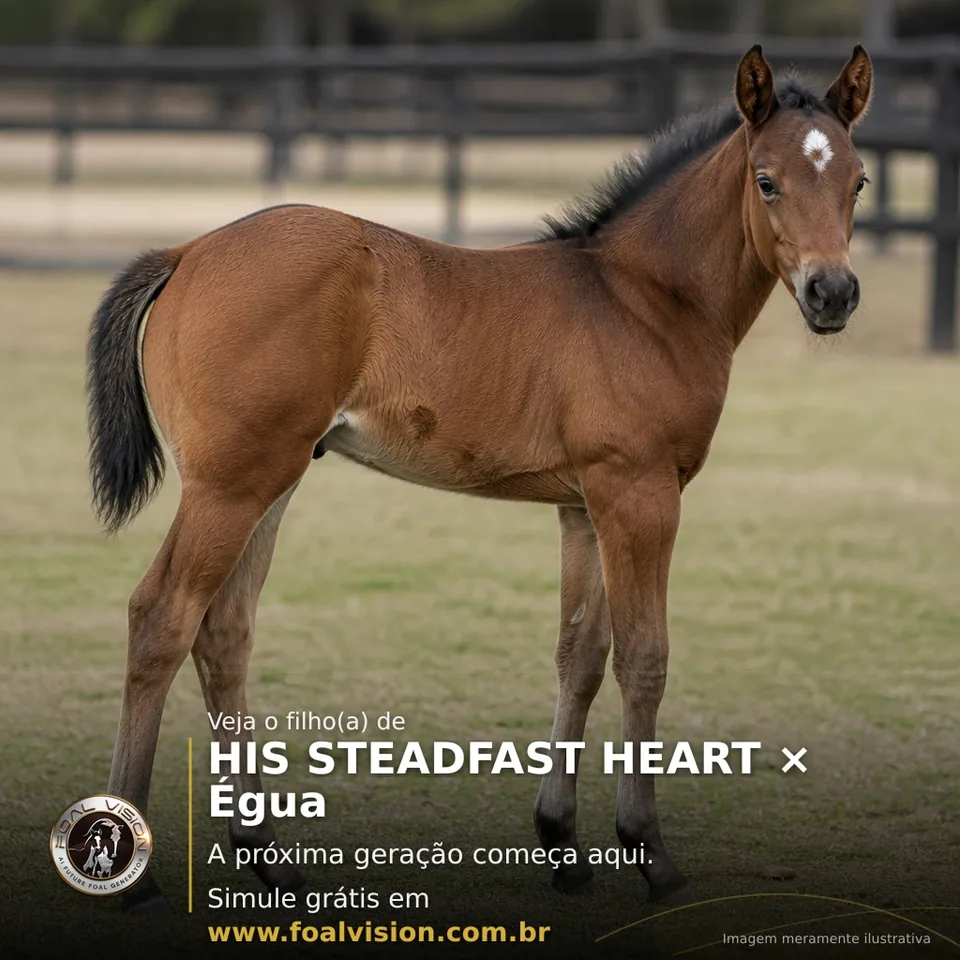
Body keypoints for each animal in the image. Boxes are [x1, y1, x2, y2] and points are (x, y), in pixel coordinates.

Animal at [86, 44, 872, 913]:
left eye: (859, 182)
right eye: (767, 181)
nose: (833, 293)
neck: (642, 300)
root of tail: (187, 253)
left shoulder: (583, 505)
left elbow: (580, 654)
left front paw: (562, 843)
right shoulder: (640, 494)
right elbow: (645, 657)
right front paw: (648, 849)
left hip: (270, 481)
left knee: (222, 632)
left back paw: (269, 855)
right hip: (231, 484)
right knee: (162, 616)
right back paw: (130, 869)